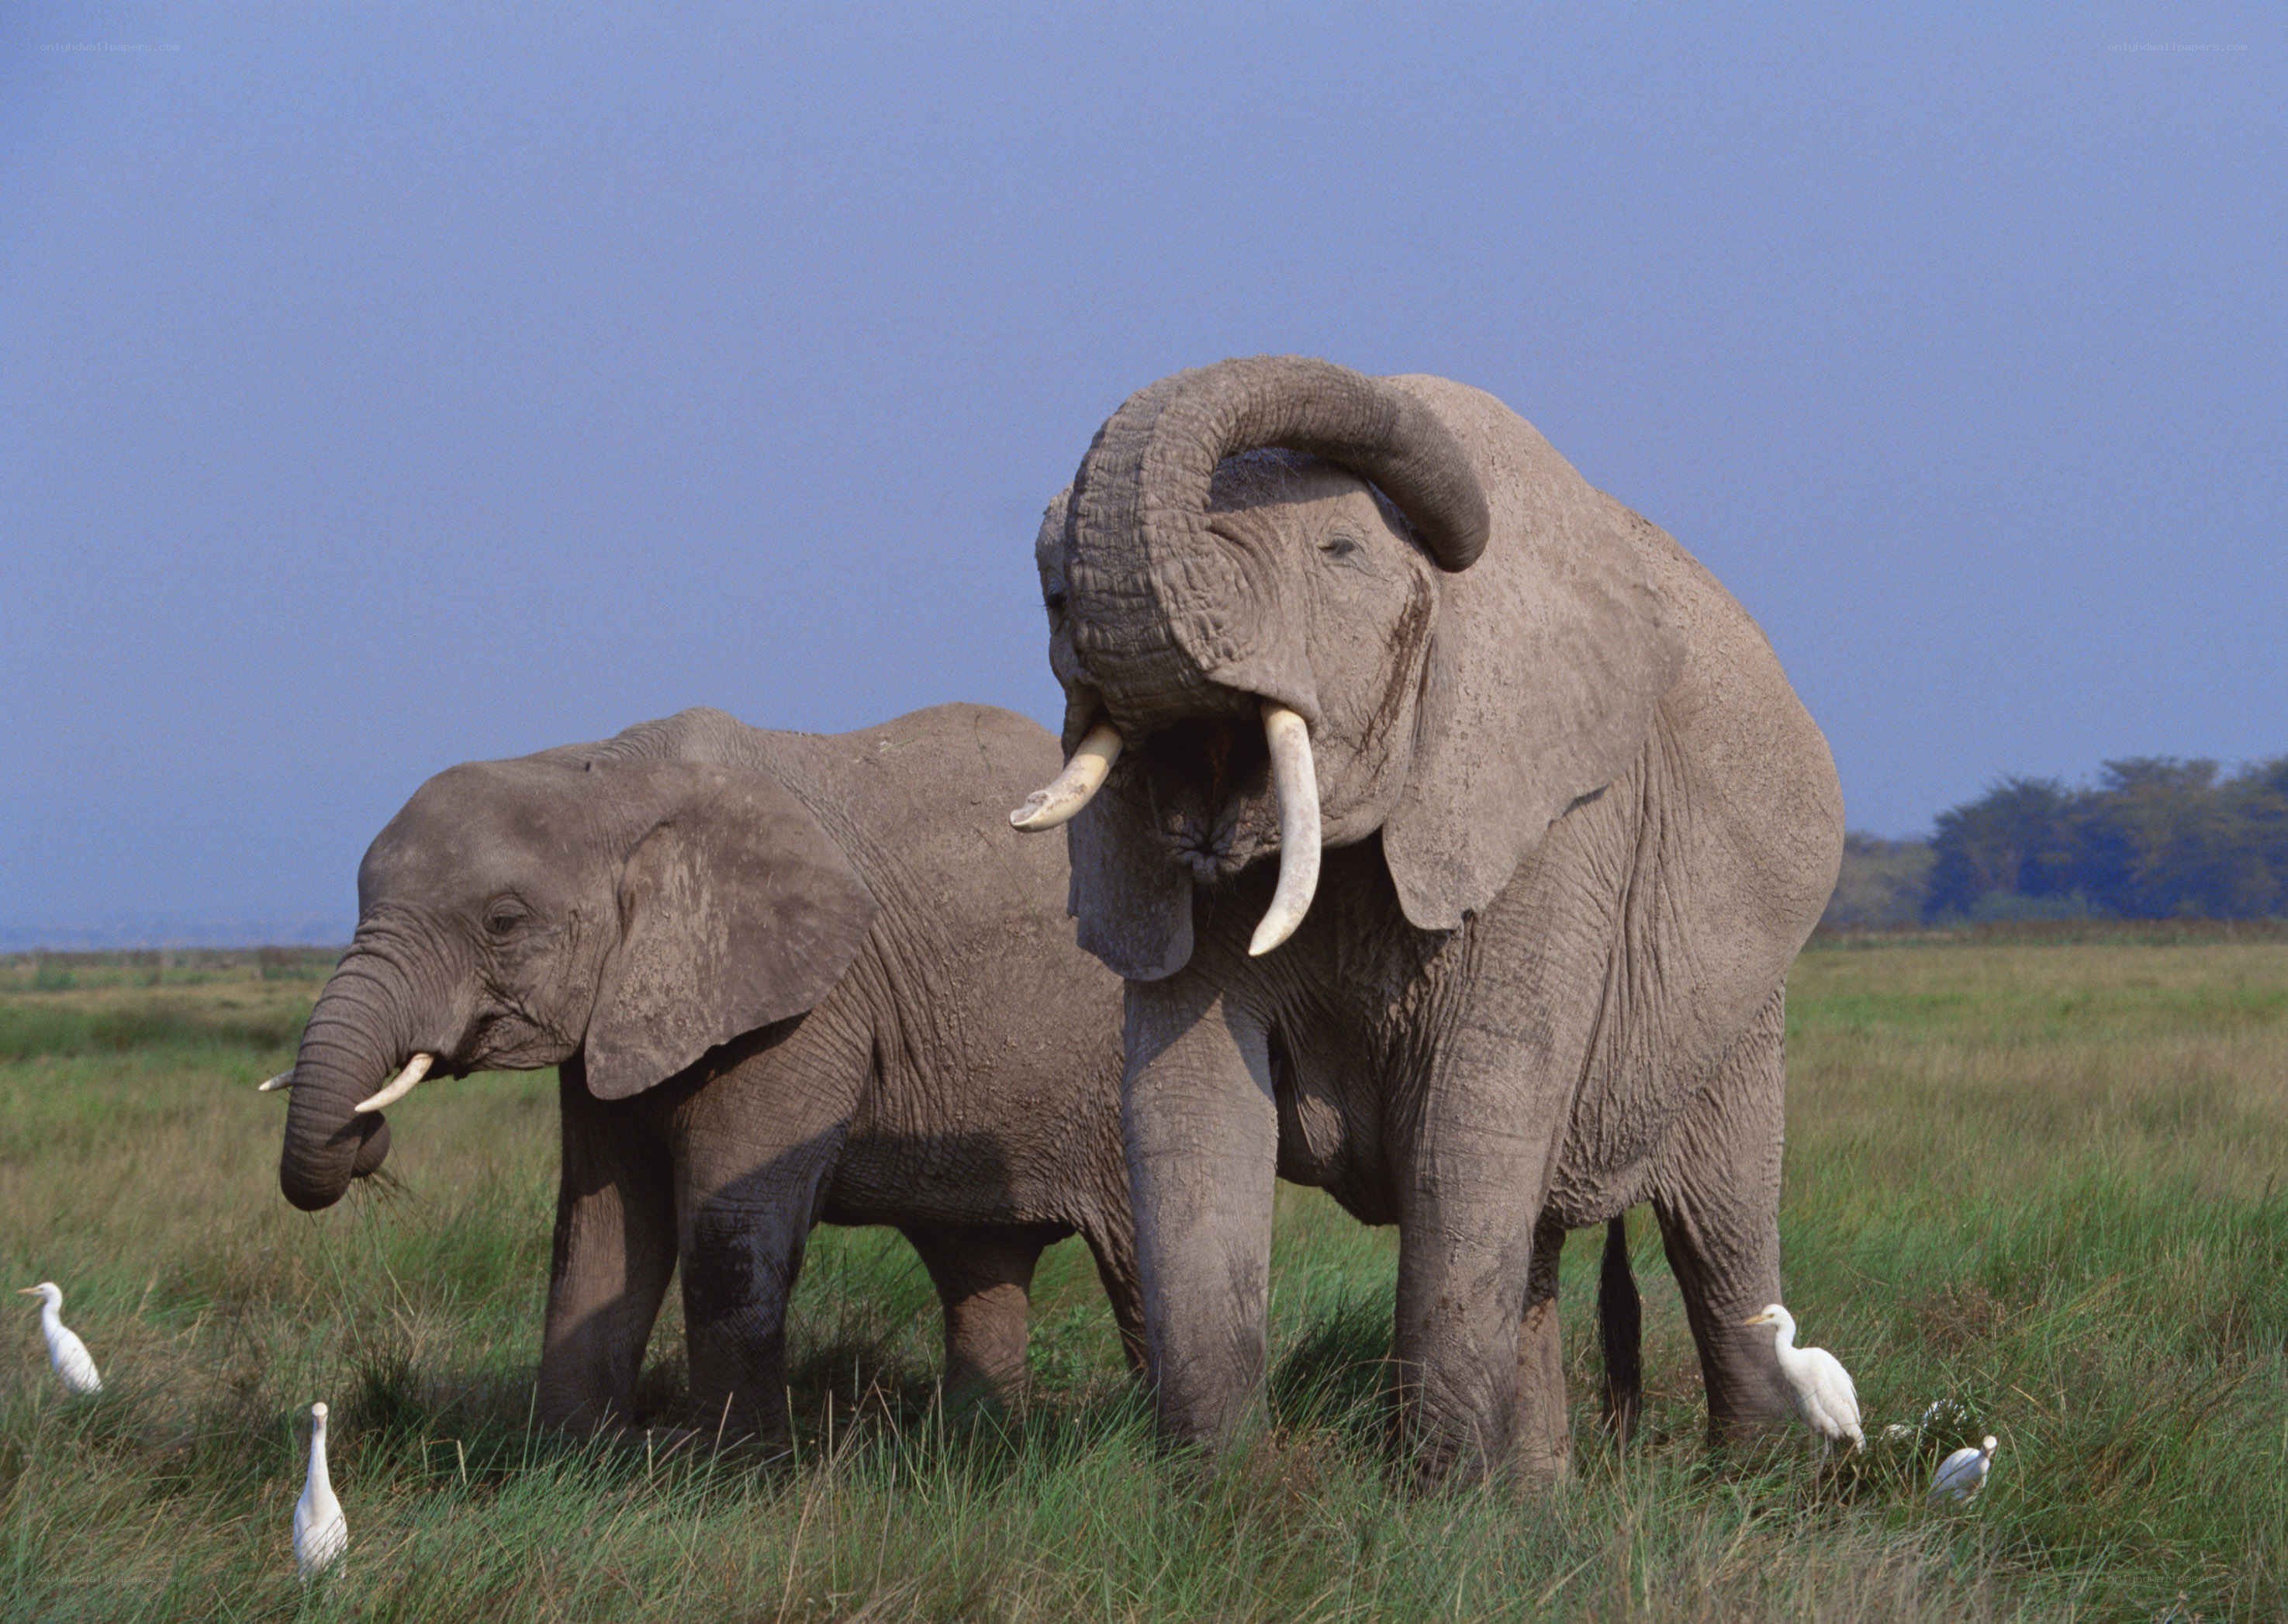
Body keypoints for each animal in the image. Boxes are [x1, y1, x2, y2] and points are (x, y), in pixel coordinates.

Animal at [272, 702, 1143, 1442]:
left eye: (503, 922)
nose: (368, 1135)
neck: (606, 774)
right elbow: (601, 1223)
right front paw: (568, 1462)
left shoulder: (805, 997)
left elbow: (729, 1221)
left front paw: (739, 1476)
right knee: (976, 1261)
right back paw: (973, 1443)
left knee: (1133, 1251)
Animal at [1011, 356, 1844, 1488]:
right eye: (1047, 581)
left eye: (1340, 552)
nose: (1068, 593)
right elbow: (1189, 1111)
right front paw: (1220, 1494)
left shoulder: (1554, 826)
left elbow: (1469, 1112)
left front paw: (1437, 1501)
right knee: (1537, 1241)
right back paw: (1536, 1497)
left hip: (1741, 998)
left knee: (1717, 1227)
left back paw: (1751, 1483)